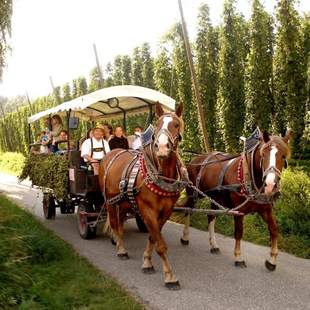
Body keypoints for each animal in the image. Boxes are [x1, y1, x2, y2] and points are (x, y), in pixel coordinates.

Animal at [99, 103, 185, 290]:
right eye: (158, 124)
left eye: (176, 124)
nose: (162, 147)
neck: (160, 175)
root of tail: (111, 154)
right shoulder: (148, 210)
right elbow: (160, 244)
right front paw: (170, 276)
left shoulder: (166, 212)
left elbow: (153, 237)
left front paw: (146, 262)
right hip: (109, 201)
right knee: (115, 223)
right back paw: (121, 250)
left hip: (123, 202)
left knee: (120, 224)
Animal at [179, 130, 290, 270]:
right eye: (263, 154)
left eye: (283, 156)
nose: (270, 184)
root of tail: (195, 159)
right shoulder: (239, 211)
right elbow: (238, 232)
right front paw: (238, 257)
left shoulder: (266, 210)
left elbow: (274, 230)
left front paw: (272, 260)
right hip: (192, 194)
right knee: (188, 210)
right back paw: (185, 237)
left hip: (216, 198)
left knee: (210, 216)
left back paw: (214, 245)